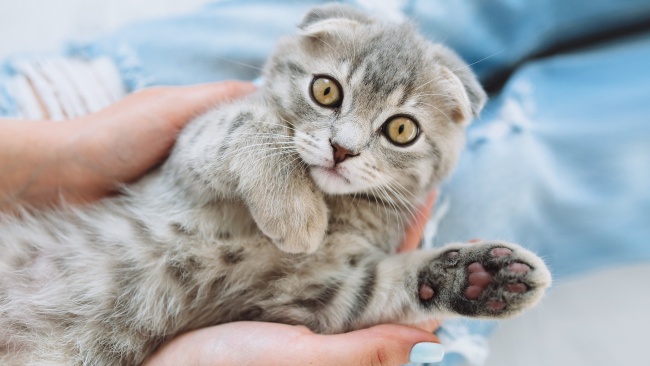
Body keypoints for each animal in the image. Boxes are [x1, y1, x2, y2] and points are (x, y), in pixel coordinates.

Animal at [0, 3, 548, 366]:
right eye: (326, 90)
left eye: (400, 129)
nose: (342, 149)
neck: (332, 202)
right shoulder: (181, 159)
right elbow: (247, 123)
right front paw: (296, 215)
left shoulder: (308, 293)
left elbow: (383, 289)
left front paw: (484, 277)